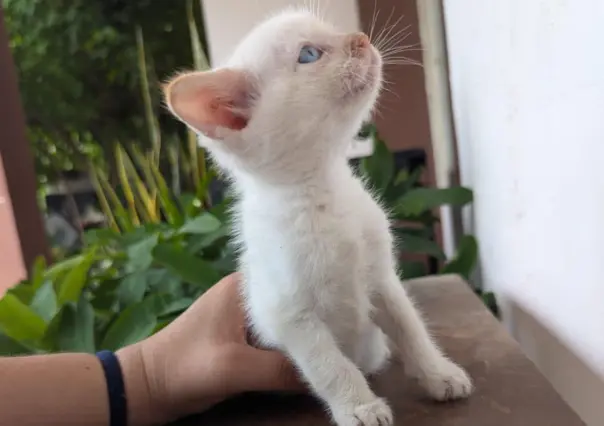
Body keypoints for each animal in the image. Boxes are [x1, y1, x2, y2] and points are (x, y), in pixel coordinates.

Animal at [164, 7, 472, 426]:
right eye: (309, 54)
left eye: (335, 32)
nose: (361, 39)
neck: (324, 191)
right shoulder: (286, 315)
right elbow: (330, 366)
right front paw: (359, 406)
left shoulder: (383, 279)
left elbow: (410, 327)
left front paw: (438, 372)